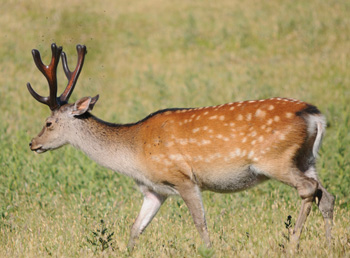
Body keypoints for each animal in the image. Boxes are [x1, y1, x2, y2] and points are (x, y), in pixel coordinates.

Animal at [26, 43, 334, 251]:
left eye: (49, 123)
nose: (32, 143)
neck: (134, 153)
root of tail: (315, 115)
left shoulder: (183, 177)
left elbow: (200, 222)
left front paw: (209, 251)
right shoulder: (155, 191)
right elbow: (135, 229)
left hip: (275, 159)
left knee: (309, 189)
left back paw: (293, 245)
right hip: (306, 158)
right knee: (325, 195)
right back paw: (329, 245)